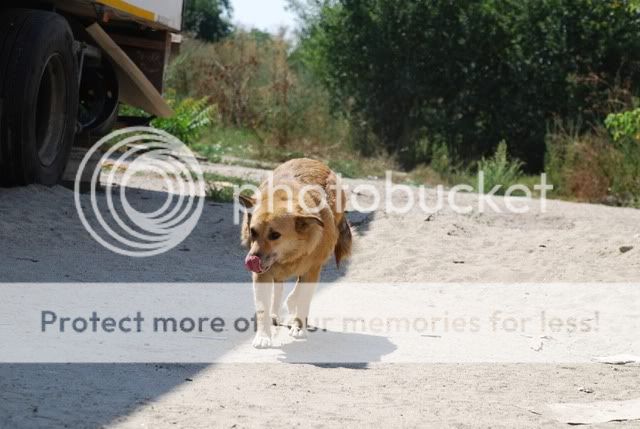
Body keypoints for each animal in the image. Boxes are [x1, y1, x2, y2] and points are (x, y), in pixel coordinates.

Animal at [239, 157, 352, 348]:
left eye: (275, 235)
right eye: (253, 232)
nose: (252, 259)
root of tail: (312, 160)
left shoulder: (312, 270)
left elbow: (304, 299)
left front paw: (299, 327)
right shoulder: (262, 274)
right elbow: (263, 307)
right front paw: (263, 335)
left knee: (298, 292)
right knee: (279, 290)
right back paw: (276, 313)